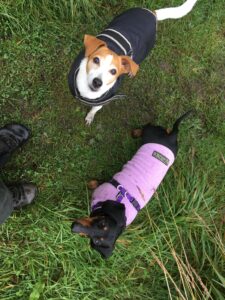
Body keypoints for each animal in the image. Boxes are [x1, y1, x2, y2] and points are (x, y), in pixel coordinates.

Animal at [68, 0, 197, 124]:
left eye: (113, 71)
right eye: (96, 60)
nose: (97, 82)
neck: (86, 92)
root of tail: (152, 13)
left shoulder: (102, 102)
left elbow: (94, 109)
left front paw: (90, 116)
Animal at [71, 110, 192, 258]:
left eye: (97, 241)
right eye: (101, 223)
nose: (74, 227)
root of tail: (173, 135)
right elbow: (96, 181)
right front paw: (90, 183)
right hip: (152, 134)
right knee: (148, 126)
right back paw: (136, 132)